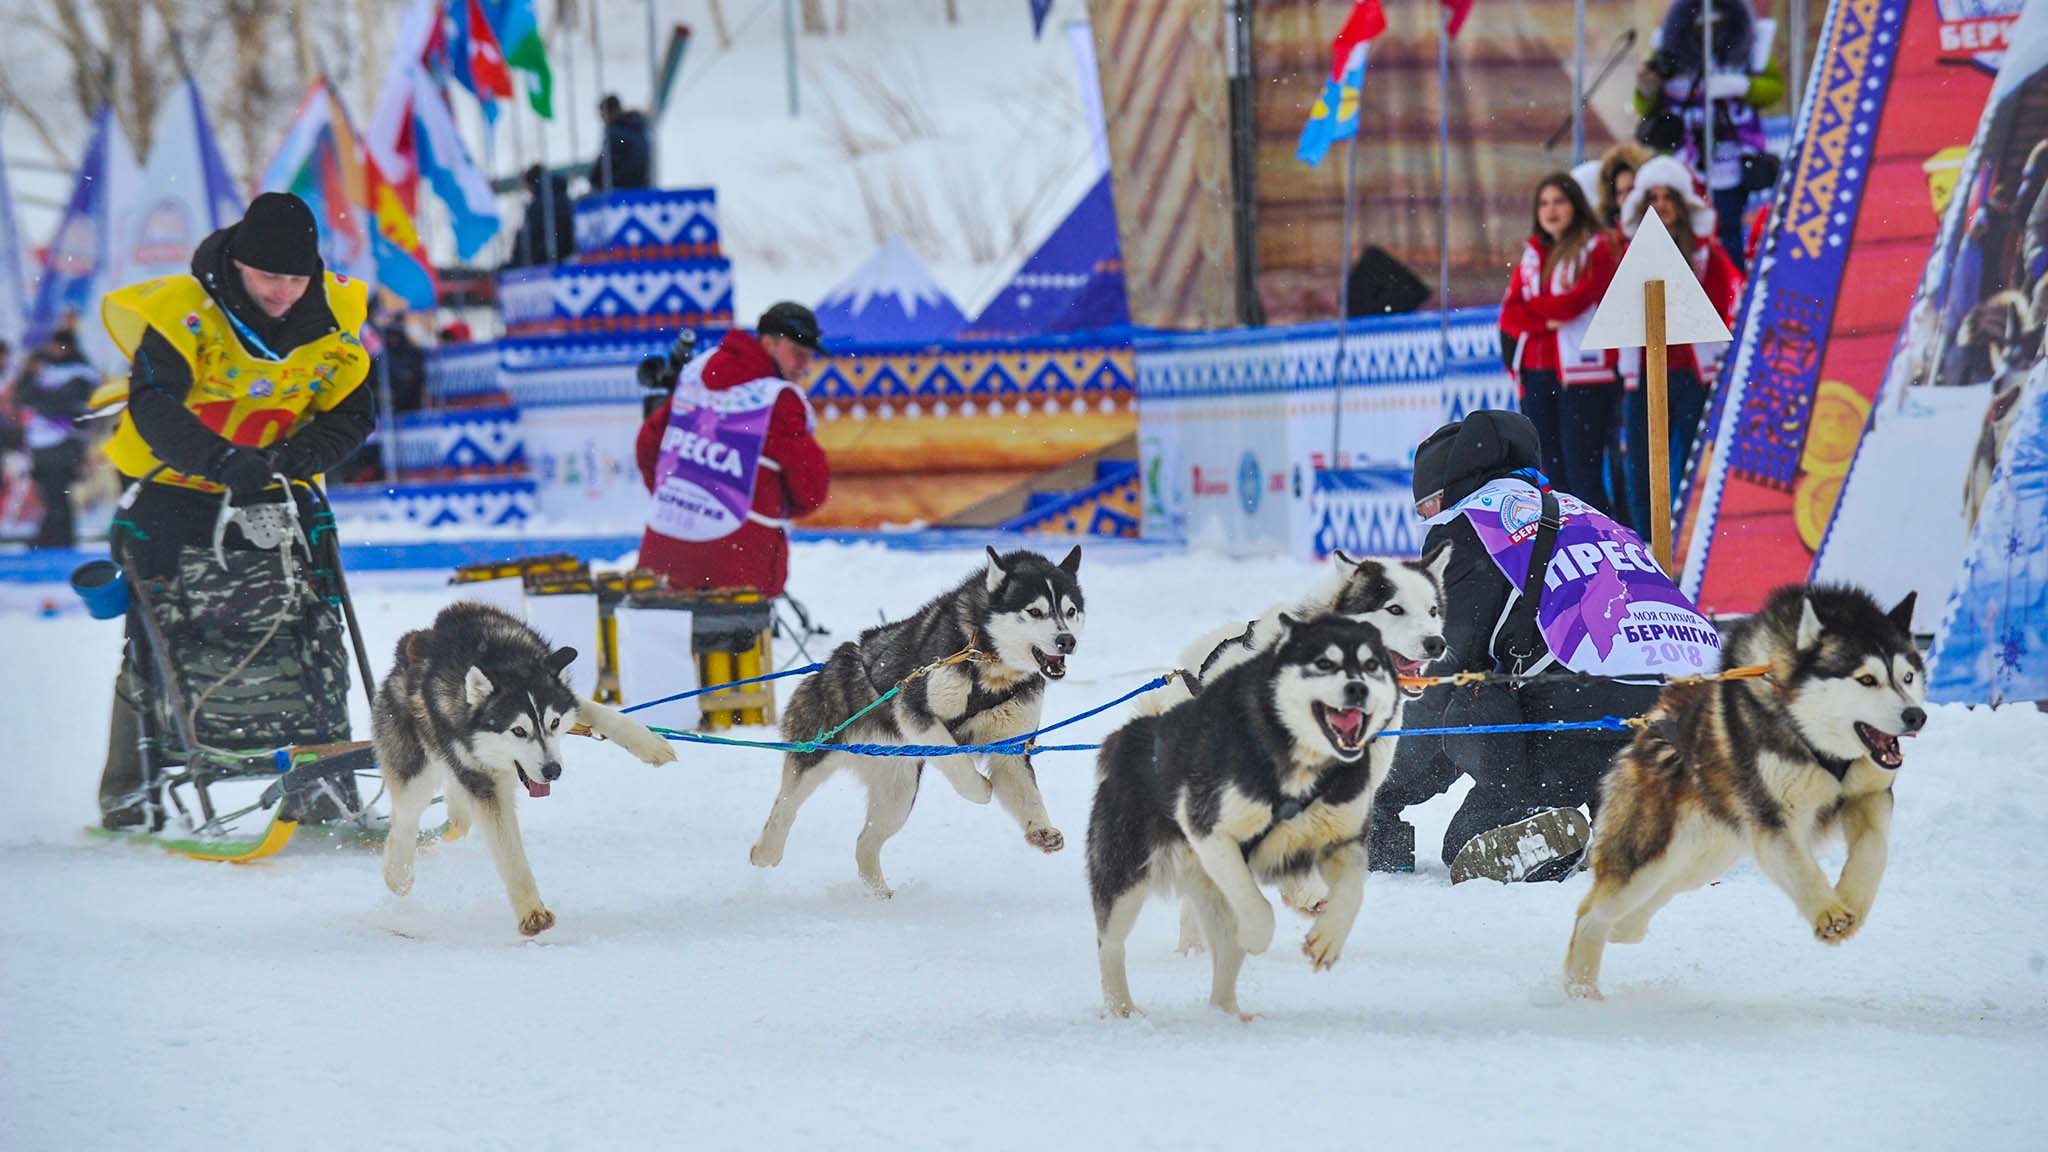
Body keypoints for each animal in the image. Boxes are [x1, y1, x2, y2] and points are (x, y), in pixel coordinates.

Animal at [374, 602, 677, 936]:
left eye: (554, 723)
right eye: (518, 731)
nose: (553, 770)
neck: (498, 658)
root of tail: (407, 646)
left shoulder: (562, 694)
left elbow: (594, 709)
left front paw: (647, 742)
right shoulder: (484, 784)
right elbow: (509, 852)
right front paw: (532, 911)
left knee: (456, 815)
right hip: (416, 771)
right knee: (404, 820)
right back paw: (398, 873)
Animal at [749, 546, 1084, 898]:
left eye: (1071, 611)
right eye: (1035, 611)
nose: (1066, 641)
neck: (990, 665)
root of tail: (832, 662)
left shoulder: (1010, 747)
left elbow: (1027, 792)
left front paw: (1041, 829)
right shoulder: (915, 711)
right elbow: (959, 763)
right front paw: (980, 788)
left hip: (898, 793)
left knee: (865, 843)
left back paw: (880, 897)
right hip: (817, 752)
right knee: (786, 804)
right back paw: (766, 851)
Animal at [1089, 614, 1400, 1018]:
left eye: (1371, 665)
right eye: (1323, 663)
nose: (1357, 689)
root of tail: (1133, 734)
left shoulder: (1341, 840)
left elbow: (1352, 892)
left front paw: (1328, 938)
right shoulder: (1210, 832)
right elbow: (1258, 908)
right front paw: (1256, 934)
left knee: (1223, 961)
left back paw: (1230, 1015)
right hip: (1125, 877)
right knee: (1110, 944)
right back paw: (1122, 1010)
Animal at [1565, 584, 1927, 999]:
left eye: (1908, 676)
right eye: (1866, 680)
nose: (1916, 716)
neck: (1813, 738)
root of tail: (1651, 724)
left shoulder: (1869, 796)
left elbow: (1873, 851)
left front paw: (1851, 899)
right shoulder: (1772, 819)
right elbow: (1800, 867)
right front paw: (1829, 912)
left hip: (1704, 857)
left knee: (1652, 898)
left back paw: (1626, 930)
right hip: (1649, 854)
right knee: (1591, 914)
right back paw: (1581, 992)